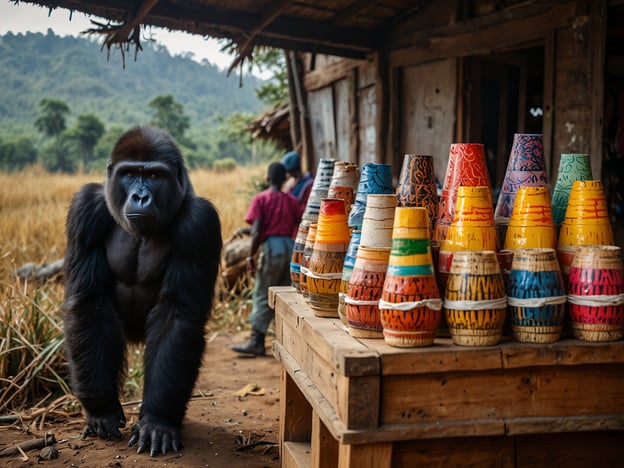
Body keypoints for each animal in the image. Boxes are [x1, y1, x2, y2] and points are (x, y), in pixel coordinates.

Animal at [63, 126, 223, 456]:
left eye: (153, 176)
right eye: (129, 174)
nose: (140, 196)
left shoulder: (199, 223)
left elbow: (177, 315)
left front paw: (158, 420)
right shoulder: (86, 208)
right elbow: (88, 303)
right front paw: (101, 409)